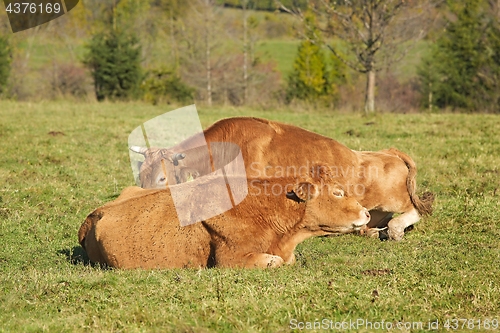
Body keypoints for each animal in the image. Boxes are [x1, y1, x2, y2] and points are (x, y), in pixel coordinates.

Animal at [133, 117, 434, 241]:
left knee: (411, 211)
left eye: (161, 178)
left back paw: (394, 229)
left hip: (391, 199)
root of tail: (390, 152)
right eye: (140, 174)